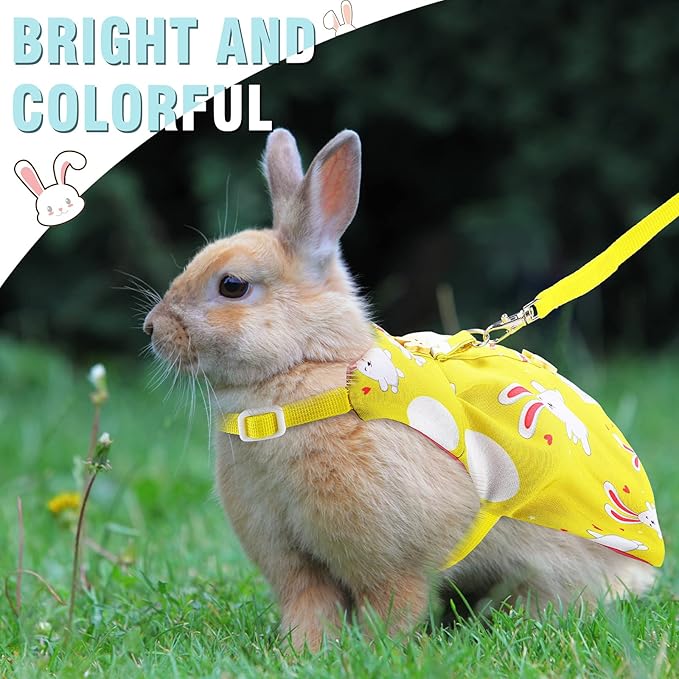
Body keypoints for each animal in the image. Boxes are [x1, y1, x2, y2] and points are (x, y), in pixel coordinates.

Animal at [142, 129, 657, 652]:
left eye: (232, 285)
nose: (151, 329)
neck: (302, 380)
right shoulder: (294, 563)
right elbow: (308, 607)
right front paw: (301, 651)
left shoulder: (393, 562)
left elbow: (392, 605)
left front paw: (376, 651)